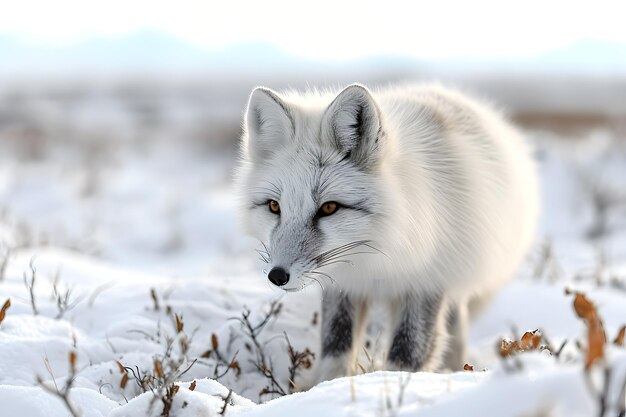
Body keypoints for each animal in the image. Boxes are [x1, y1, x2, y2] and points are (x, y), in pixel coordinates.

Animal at [234, 83, 536, 382]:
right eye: (274, 206)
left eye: (329, 208)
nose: (277, 276)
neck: (379, 255)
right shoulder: (344, 286)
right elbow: (336, 347)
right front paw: (330, 386)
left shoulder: (426, 284)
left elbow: (406, 357)